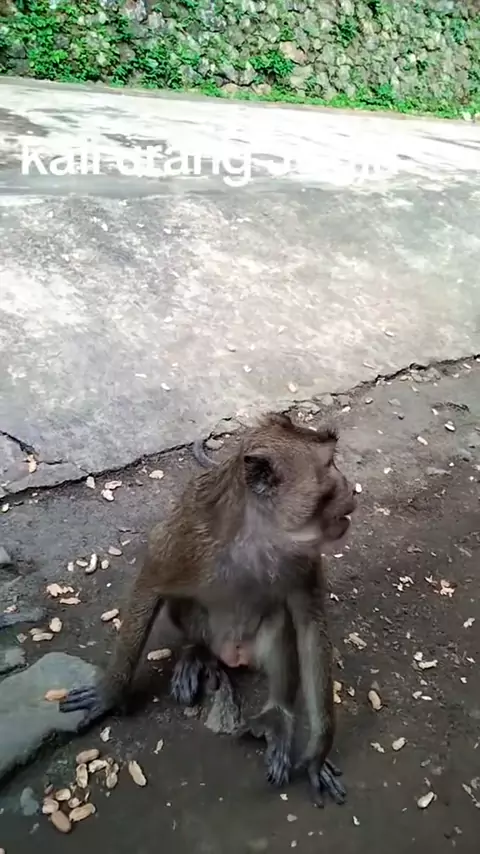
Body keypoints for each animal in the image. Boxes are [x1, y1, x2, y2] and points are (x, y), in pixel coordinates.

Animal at [59, 412, 356, 806]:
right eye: (329, 464)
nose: (350, 487)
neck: (261, 533)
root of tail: (231, 656)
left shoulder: (303, 559)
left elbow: (309, 626)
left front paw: (317, 754)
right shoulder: (190, 539)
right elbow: (150, 584)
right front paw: (110, 693)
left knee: (279, 621)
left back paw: (277, 716)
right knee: (186, 606)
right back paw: (197, 654)